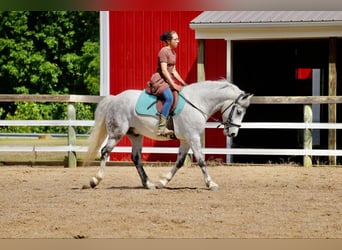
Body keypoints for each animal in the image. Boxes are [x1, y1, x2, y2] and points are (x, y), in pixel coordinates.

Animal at [84, 80, 252, 189]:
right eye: (238, 111)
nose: (233, 133)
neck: (198, 102)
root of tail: (114, 99)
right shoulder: (193, 137)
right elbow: (201, 160)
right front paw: (211, 183)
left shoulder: (186, 140)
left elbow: (179, 162)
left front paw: (163, 182)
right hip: (117, 133)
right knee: (105, 151)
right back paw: (95, 180)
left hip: (136, 135)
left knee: (136, 158)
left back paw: (148, 184)